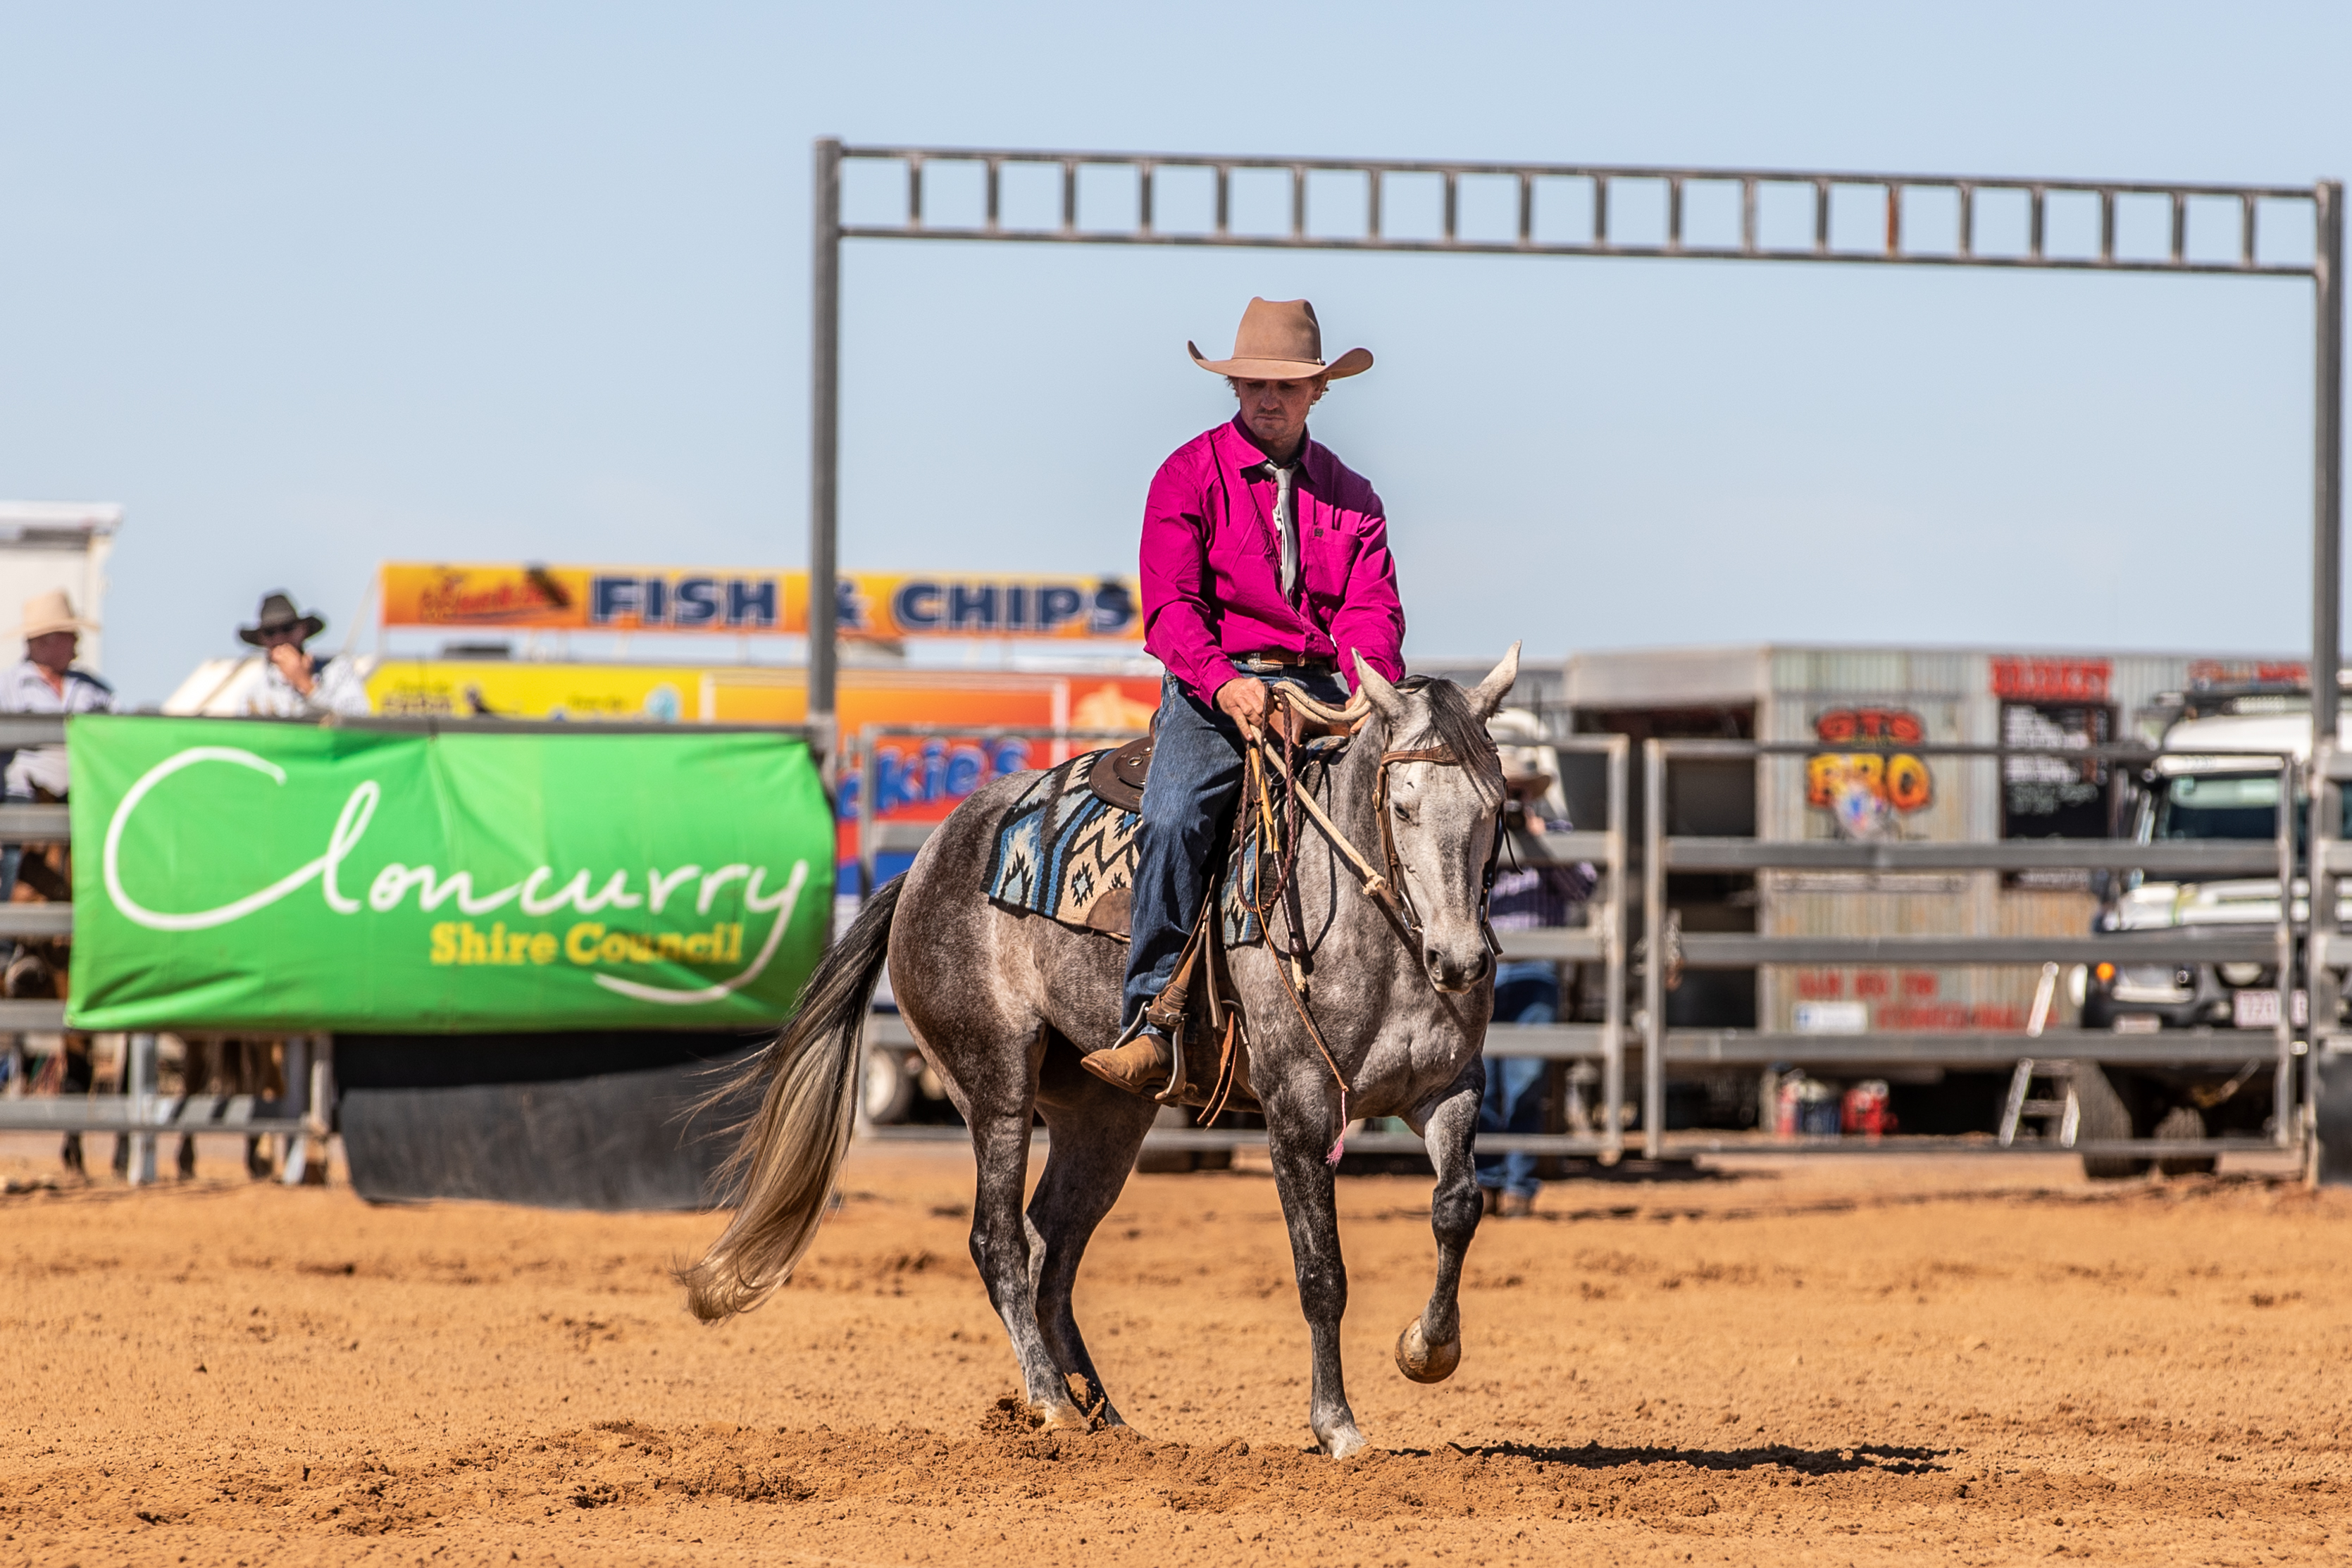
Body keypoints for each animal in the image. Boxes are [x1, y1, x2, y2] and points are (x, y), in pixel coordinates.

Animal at [680, 648, 1520, 1458]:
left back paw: (1105, 1419)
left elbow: (1458, 1206)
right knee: (999, 1241)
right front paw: (1336, 1427)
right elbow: (1322, 1273)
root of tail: (919, 867)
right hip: (994, 1083)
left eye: (1494, 806)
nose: (1460, 961)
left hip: (1104, 1114)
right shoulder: (1299, 1108)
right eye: (1403, 806)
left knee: (1052, 1250)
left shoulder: (1450, 1088)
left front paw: (1427, 1350)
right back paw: (1052, 1403)